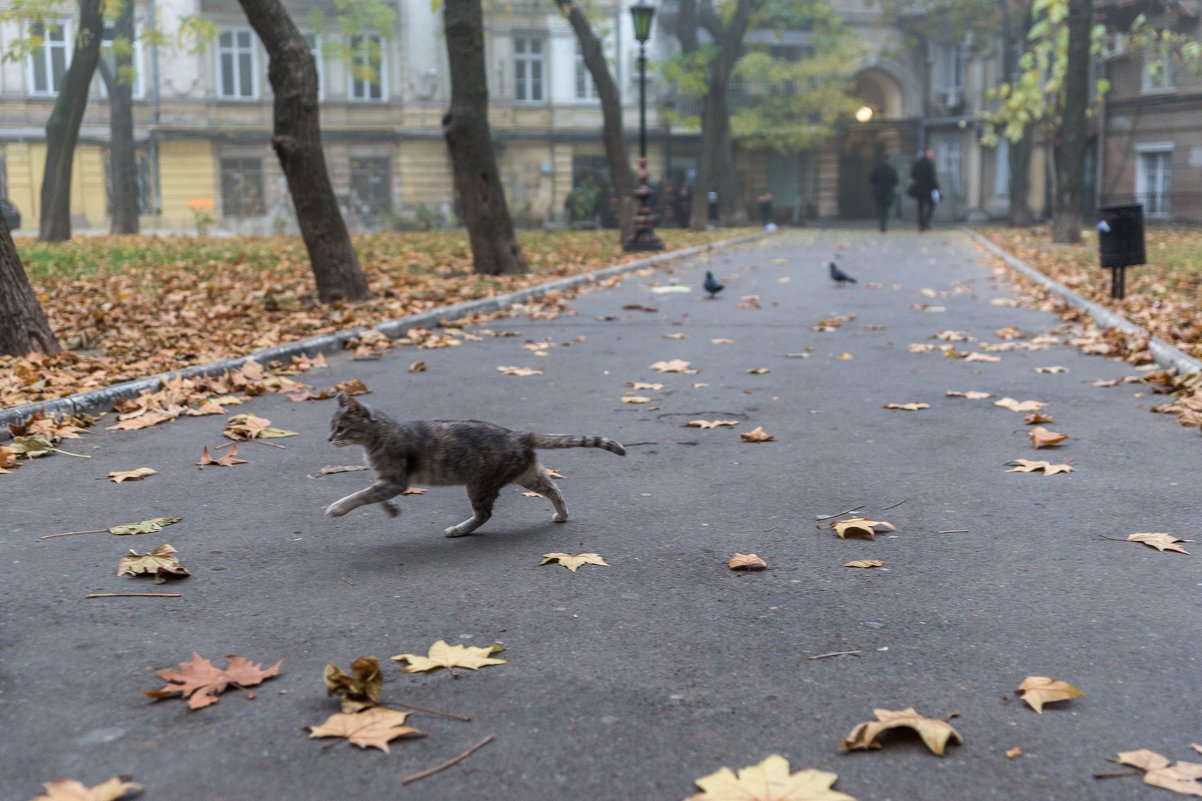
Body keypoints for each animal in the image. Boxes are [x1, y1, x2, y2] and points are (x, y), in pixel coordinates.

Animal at [324, 389, 625, 534]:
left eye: (340, 428)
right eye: (331, 426)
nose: (328, 439)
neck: (378, 436)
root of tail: (518, 434)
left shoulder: (394, 480)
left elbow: (361, 495)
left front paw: (336, 509)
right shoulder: (388, 482)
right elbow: (374, 496)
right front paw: (392, 510)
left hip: (480, 484)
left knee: (484, 514)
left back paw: (459, 530)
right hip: (526, 474)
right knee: (554, 489)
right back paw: (561, 515)